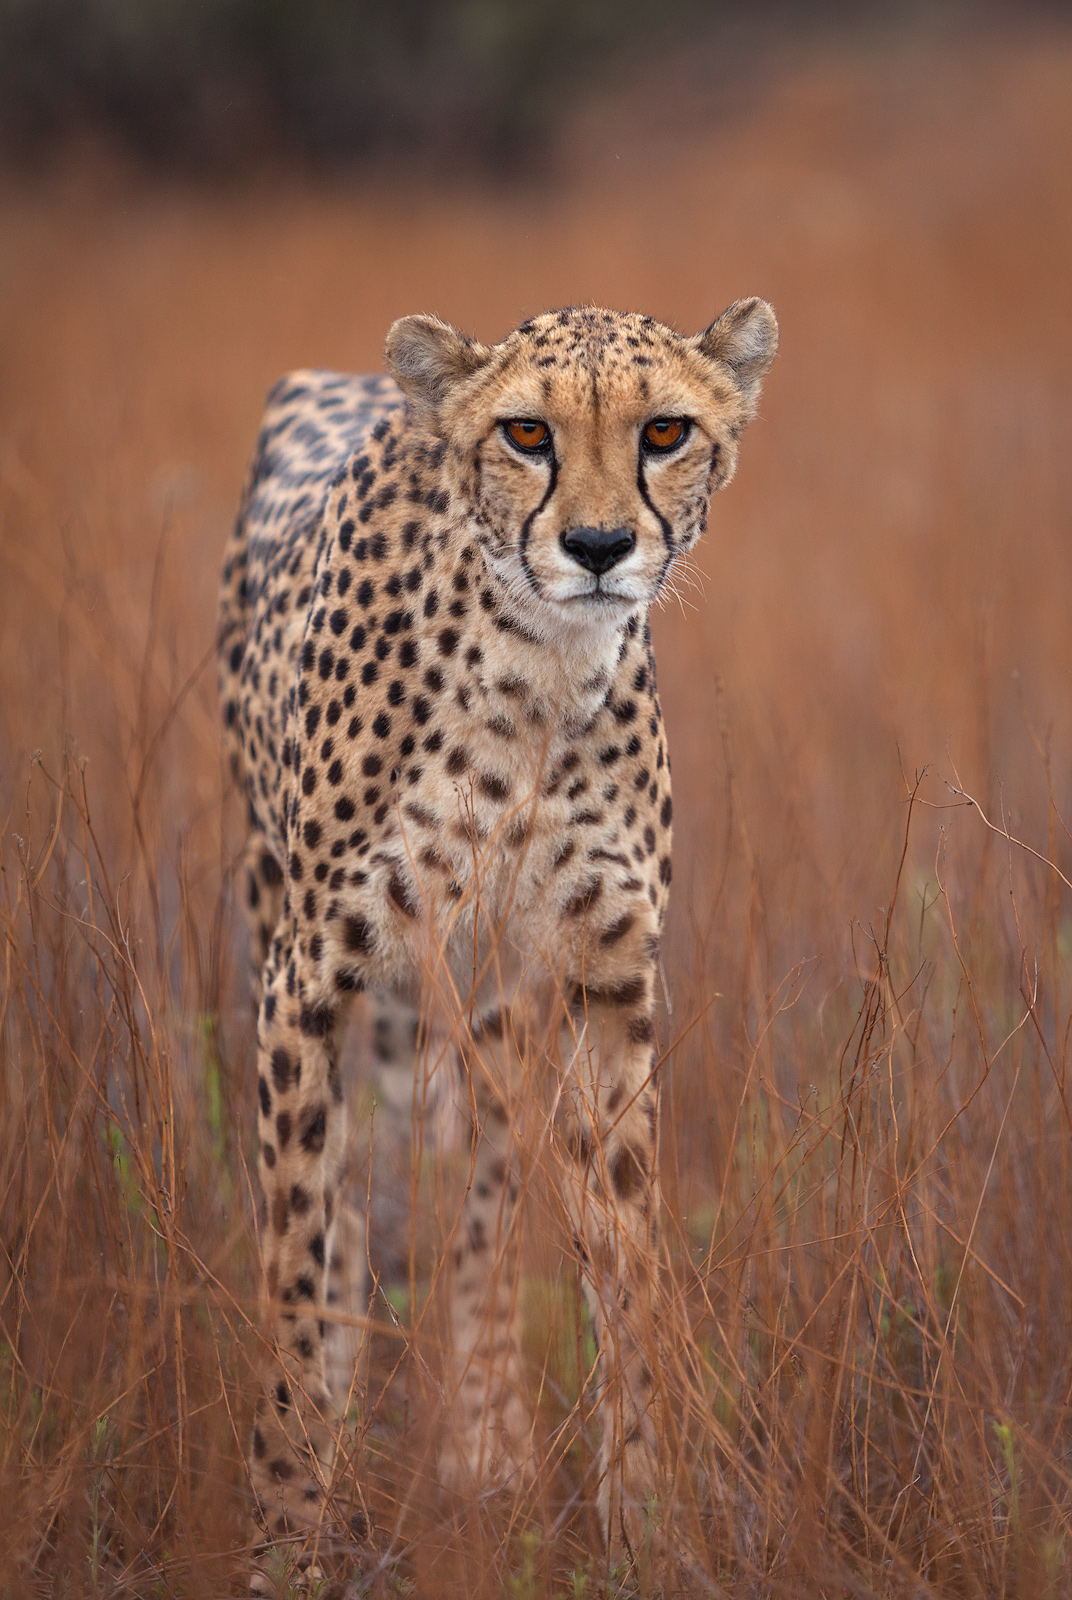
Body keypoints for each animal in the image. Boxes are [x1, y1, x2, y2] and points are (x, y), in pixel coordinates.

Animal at [216, 294, 780, 1580]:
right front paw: (286, 1528)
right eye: (526, 432)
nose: (598, 546)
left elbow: (625, 1254)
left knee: (476, 1203)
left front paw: (645, 1519)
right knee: (345, 1210)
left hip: (493, 1012)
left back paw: (484, 1448)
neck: (530, 668)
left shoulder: (607, 979)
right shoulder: (304, 987)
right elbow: (296, 1262)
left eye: (665, 430)